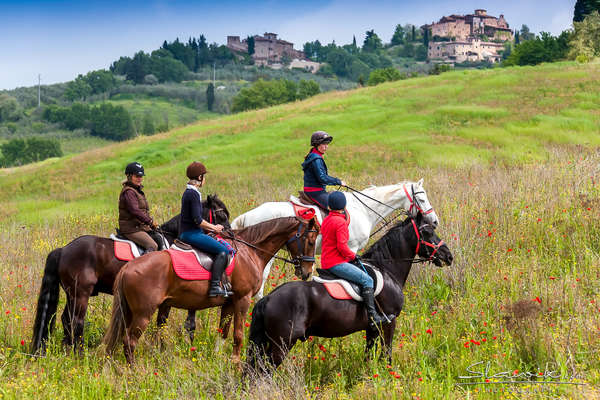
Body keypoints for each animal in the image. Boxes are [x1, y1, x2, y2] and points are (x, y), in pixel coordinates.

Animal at [30, 194, 232, 354]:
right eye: (222, 214)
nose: (229, 234)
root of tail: (64, 249)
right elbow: (164, 322)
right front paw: (160, 350)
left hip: (72, 294)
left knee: (66, 320)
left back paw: (67, 351)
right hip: (81, 293)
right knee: (76, 321)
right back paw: (79, 354)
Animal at [103, 216, 322, 366]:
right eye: (311, 241)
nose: (307, 271)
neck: (249, 251)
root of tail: (128, 267)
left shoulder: (229, 303)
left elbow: (222, 332)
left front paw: (218, 358)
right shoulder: (242, 300)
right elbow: (238, 335)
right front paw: (235, 362)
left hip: (130, 312)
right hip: (143, 313)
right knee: (129, 341)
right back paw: (133, 371)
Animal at [246, 214, 452, 374]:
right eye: (427, 232)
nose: (448, 256)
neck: (387, 269)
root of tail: (267, 299)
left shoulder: (372, 328)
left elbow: (369, 355)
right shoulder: (389, 322)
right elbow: (387, 353)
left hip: (267, 343)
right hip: (280, 345)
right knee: (263, 373)